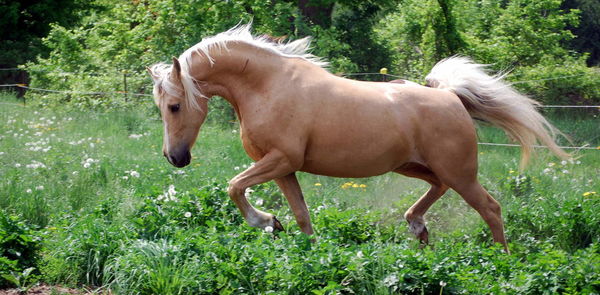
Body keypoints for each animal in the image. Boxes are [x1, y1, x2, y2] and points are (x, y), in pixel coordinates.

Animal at [149, 24, 568, 253]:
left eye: (174, 106)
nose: (175, 158)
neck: (267, 86)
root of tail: (451, 96)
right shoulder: (284, 168)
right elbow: (302, 217)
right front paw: (298, 244)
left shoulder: (280, 159)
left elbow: (234, 186)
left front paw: (266, 220)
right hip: (416, 167)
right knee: (437, 190)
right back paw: (417, 227)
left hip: (459, 172)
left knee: (491, 209)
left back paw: (502, 260)